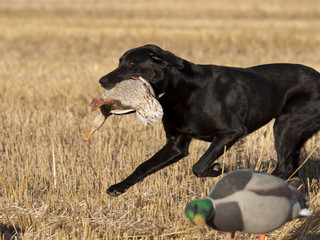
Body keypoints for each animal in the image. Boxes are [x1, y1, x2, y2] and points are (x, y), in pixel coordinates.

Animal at [98, 44, 320, 196]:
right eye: (120, 62)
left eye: (131, 63)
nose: (102, 80)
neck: (180, 89)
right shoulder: (176, 144)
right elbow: (144, 165)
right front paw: (120, 186)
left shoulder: (231, 132)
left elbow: (199, 166)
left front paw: (218, 169)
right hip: (294, 134)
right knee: (290, 168)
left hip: (285, 126)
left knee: (284, 167)